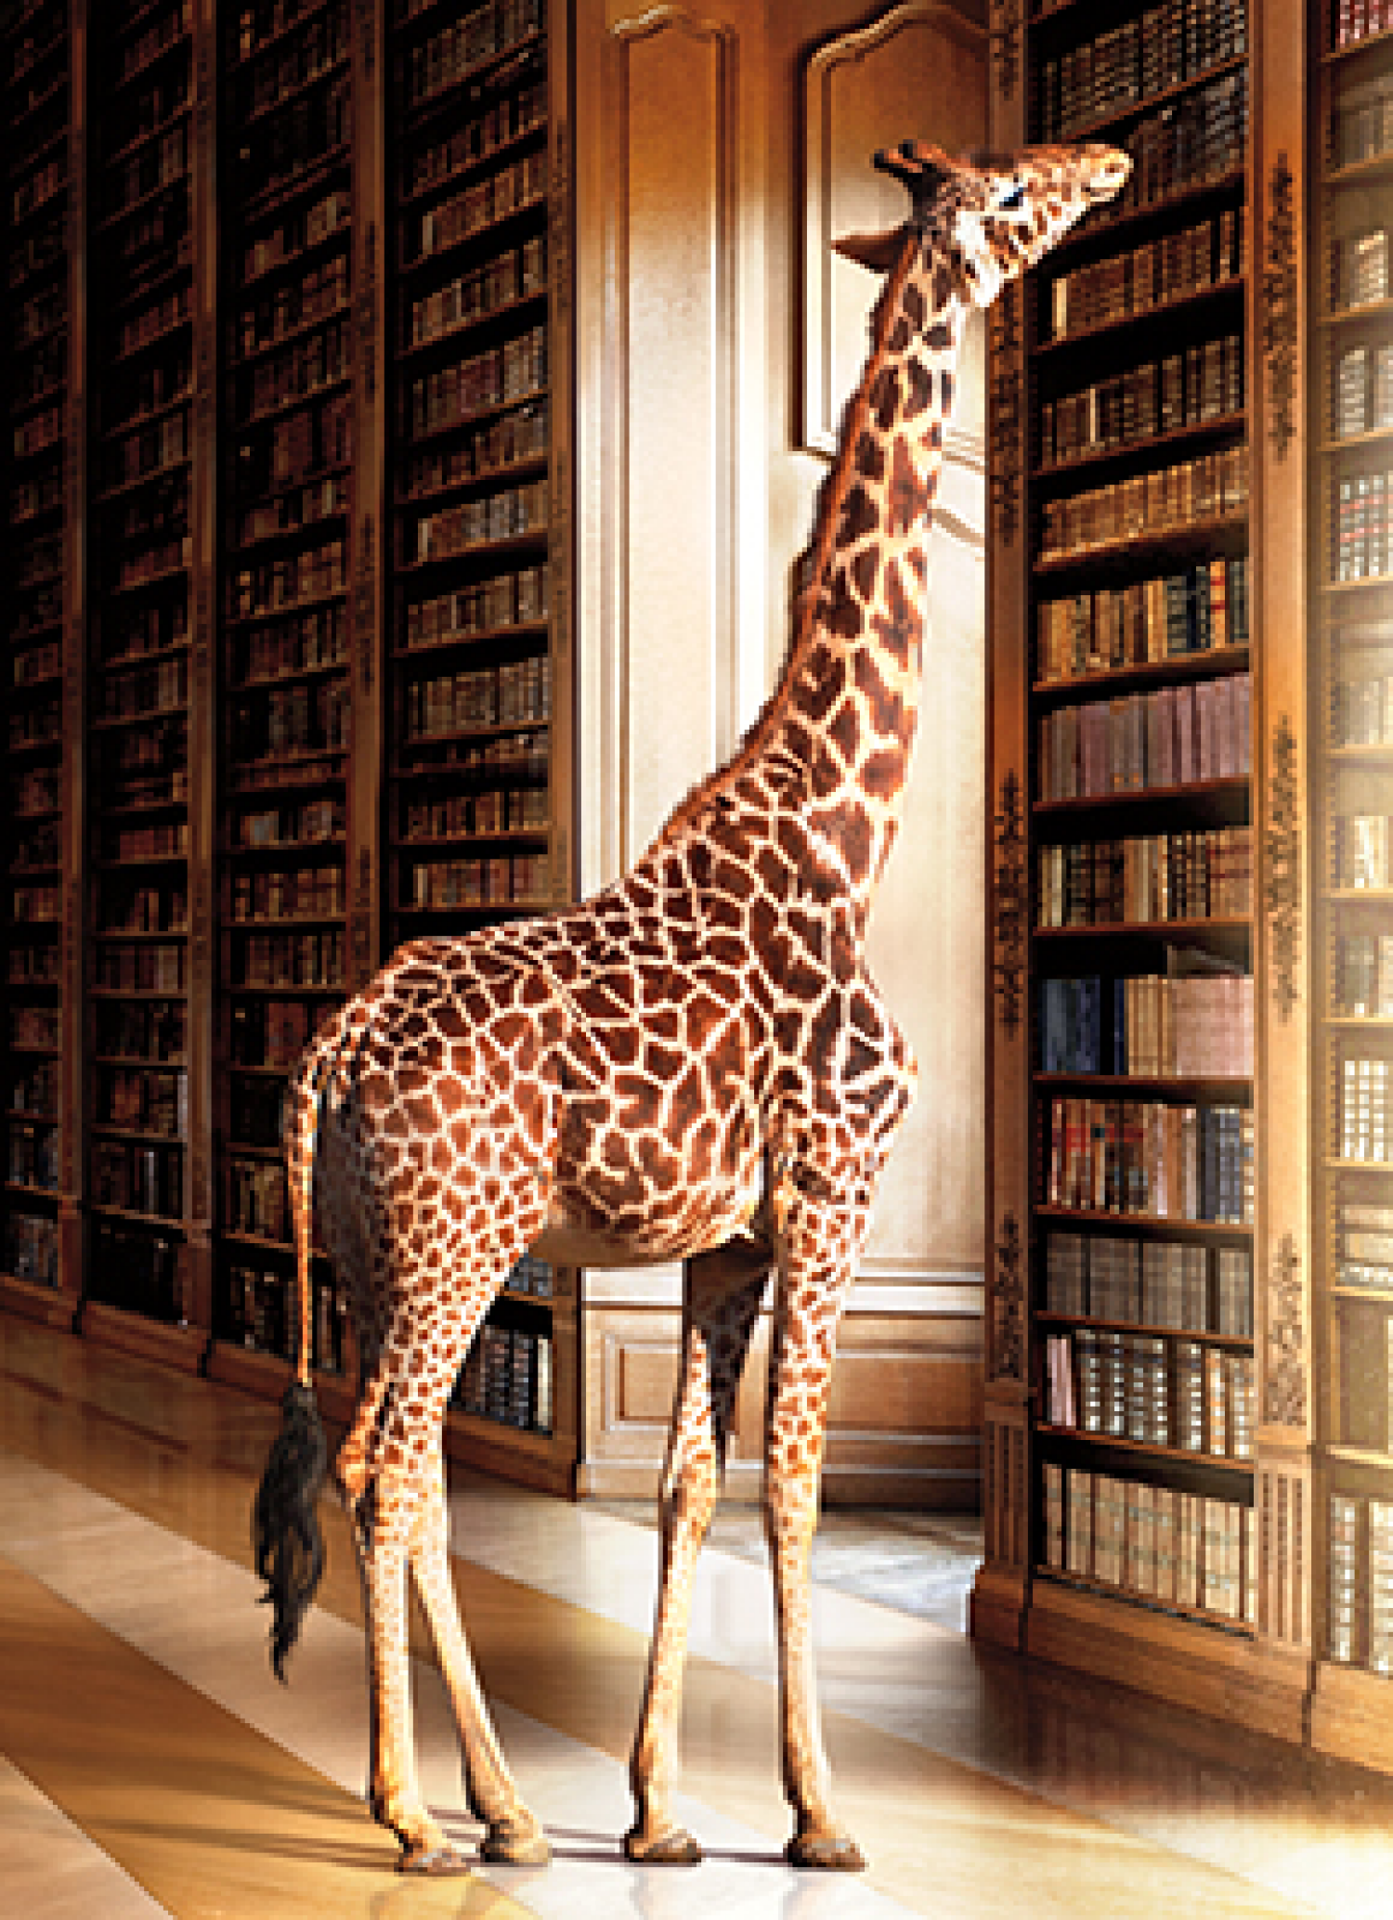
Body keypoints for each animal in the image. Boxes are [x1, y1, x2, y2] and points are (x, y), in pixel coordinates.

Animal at [252, 138, 1129, 1877]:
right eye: (1011, 195)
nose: (1110, 159)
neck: (842, 834)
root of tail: (333, 1049)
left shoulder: (724, 1243)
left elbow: (686, 1490)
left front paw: (660, 1809)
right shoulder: (837, 1193)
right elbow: (792, 1487)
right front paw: (820, 1813)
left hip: (387, 1254)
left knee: (410, 1468)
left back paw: (514, 1812)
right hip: (456, 1248)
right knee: (386, 1471)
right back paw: (415, 1815)